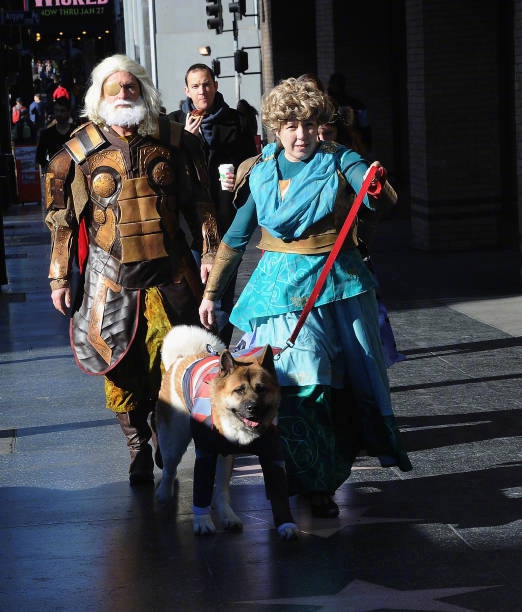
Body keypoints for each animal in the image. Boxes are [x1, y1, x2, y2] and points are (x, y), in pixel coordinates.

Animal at [155, 325, 298, 540]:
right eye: (239, 390)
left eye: (261, 389)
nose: (253, 408)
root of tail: (183, 358)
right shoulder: (205, 455)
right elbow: (200, 491)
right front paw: (202, 522)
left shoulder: (273, 456)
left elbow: (279, 493)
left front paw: (286, 524)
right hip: (173, 440)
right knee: (170, 468)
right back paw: (164, 493)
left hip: (224, 457)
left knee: (221, 490)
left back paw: (228, 516)